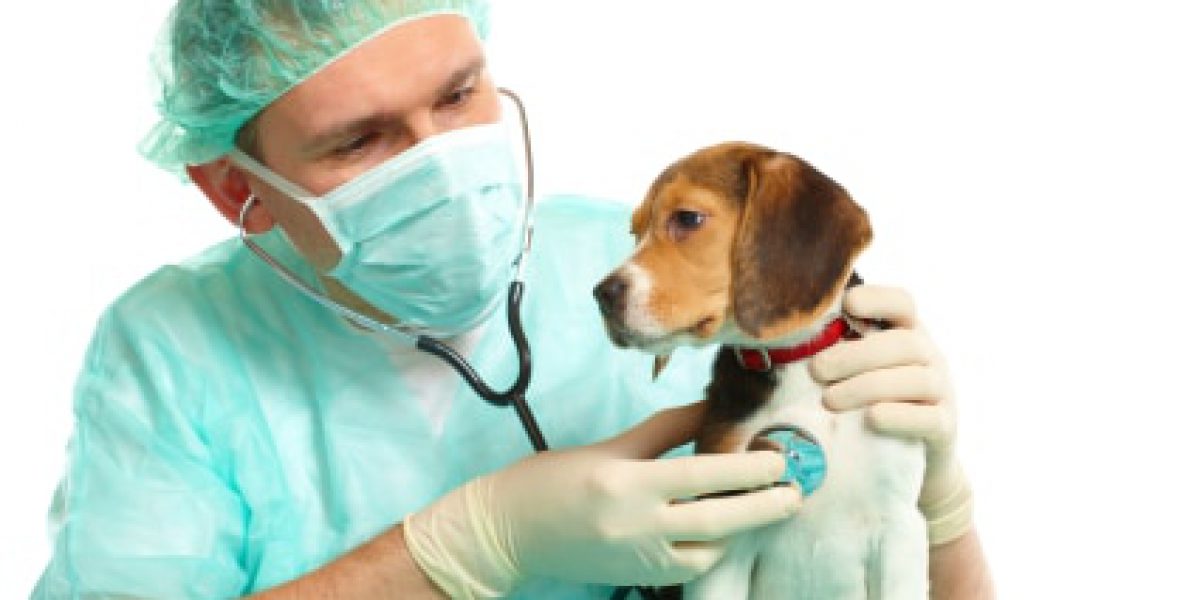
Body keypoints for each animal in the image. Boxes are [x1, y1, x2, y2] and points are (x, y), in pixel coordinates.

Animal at [597, 144, 926, 600]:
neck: (796, 360)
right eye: (634, 233)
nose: (601, 295)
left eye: (687, 219)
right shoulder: (726, 529)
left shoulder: (900, 533)